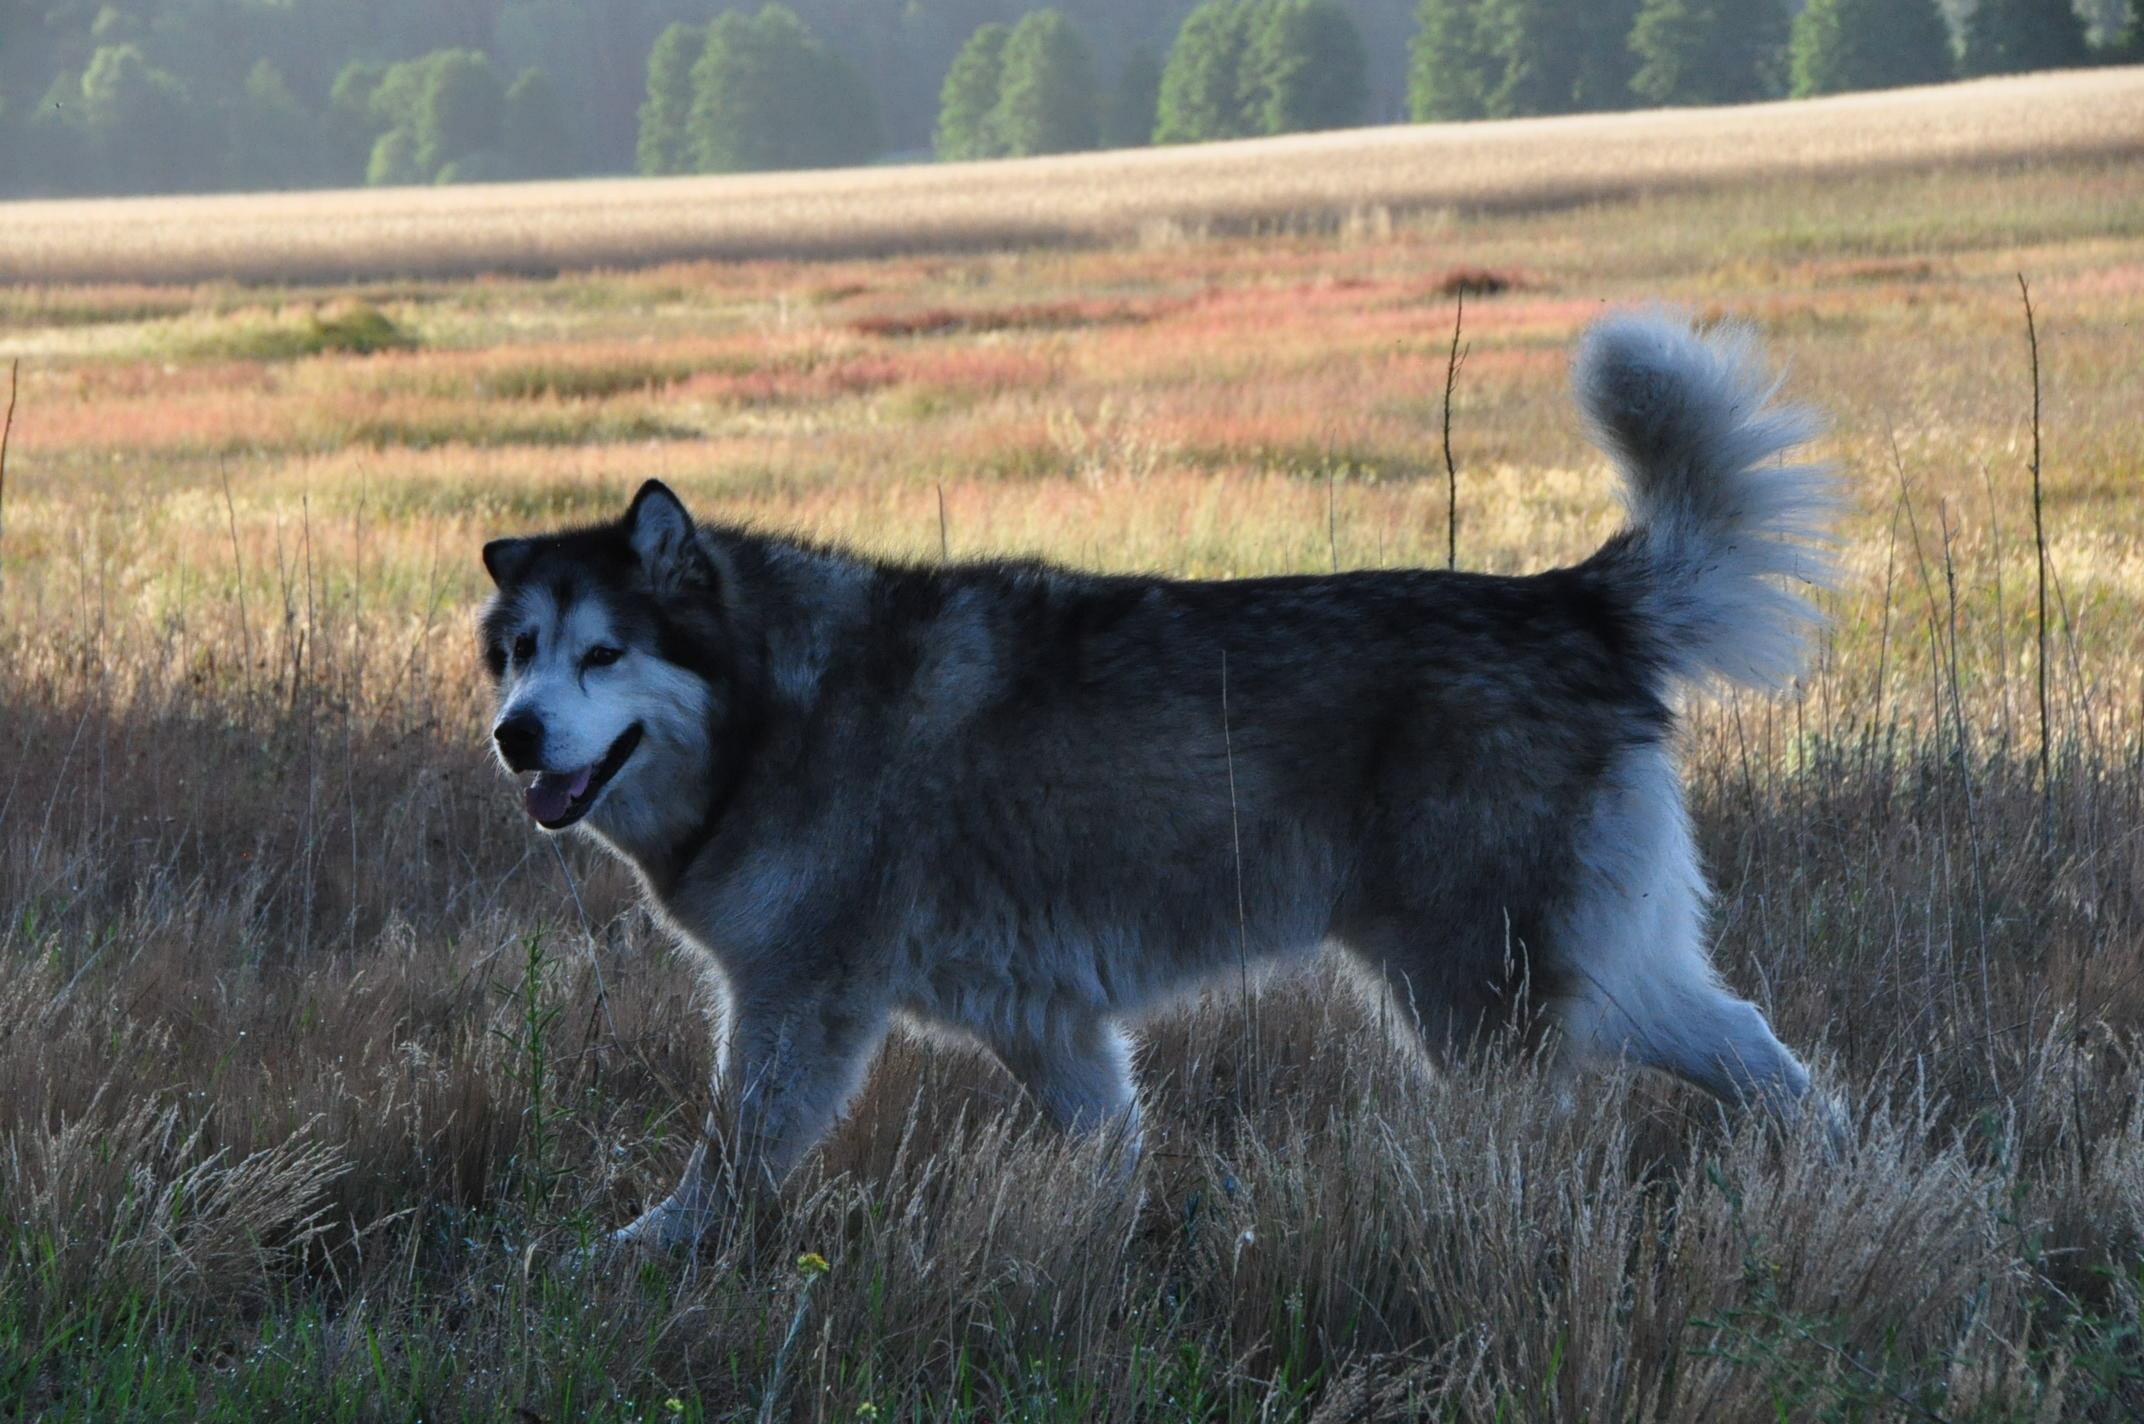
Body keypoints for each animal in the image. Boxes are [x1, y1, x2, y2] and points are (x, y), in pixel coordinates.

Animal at [478, 310, 1838, 1249]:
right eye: (517, 651)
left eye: (602, 652)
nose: (514, 735)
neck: (771, 708)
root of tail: (1569, 599)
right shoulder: (1049, 1021)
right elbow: (1108, 1149)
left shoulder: (797, 1010)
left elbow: (727, 1156)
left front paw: (638, 1249)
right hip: (1602, 968)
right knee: (1760, 1048)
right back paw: (1839, 1161)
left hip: (1474, 989)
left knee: (1545, 1121)